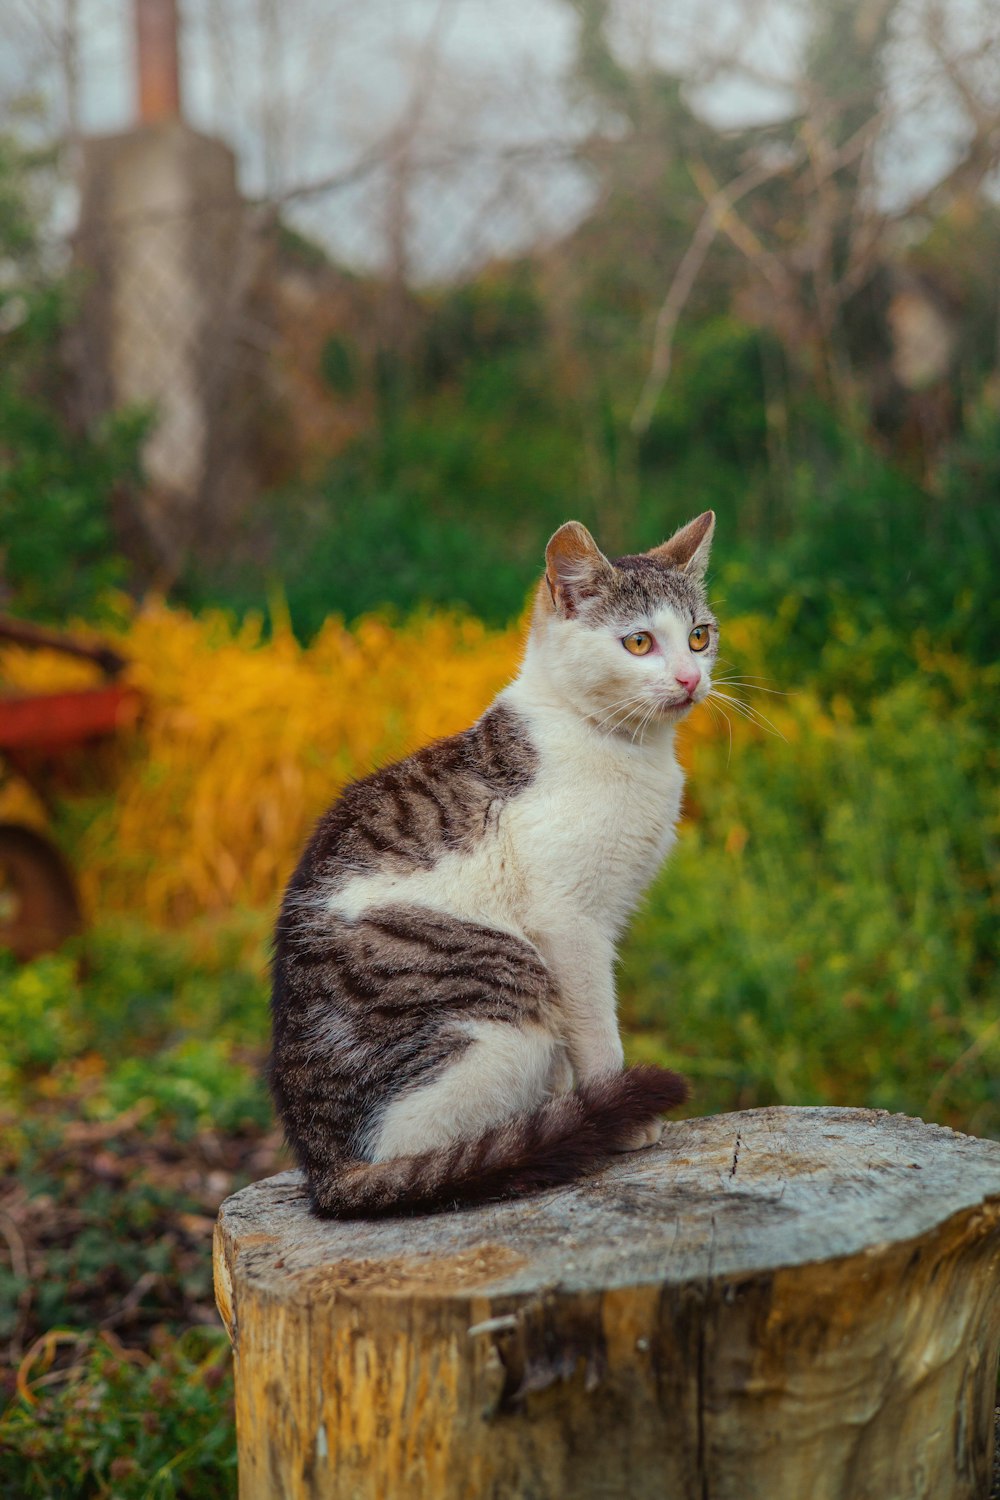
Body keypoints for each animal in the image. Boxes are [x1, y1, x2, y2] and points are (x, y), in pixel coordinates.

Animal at [269, 510, 716, 1212]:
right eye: (639, 643)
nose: (690, 679)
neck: (627, 749)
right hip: (510, 993)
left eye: (699, 637)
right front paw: (622, 1116)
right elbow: (596, 1029)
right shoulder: (569, 924)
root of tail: (324, 1170)